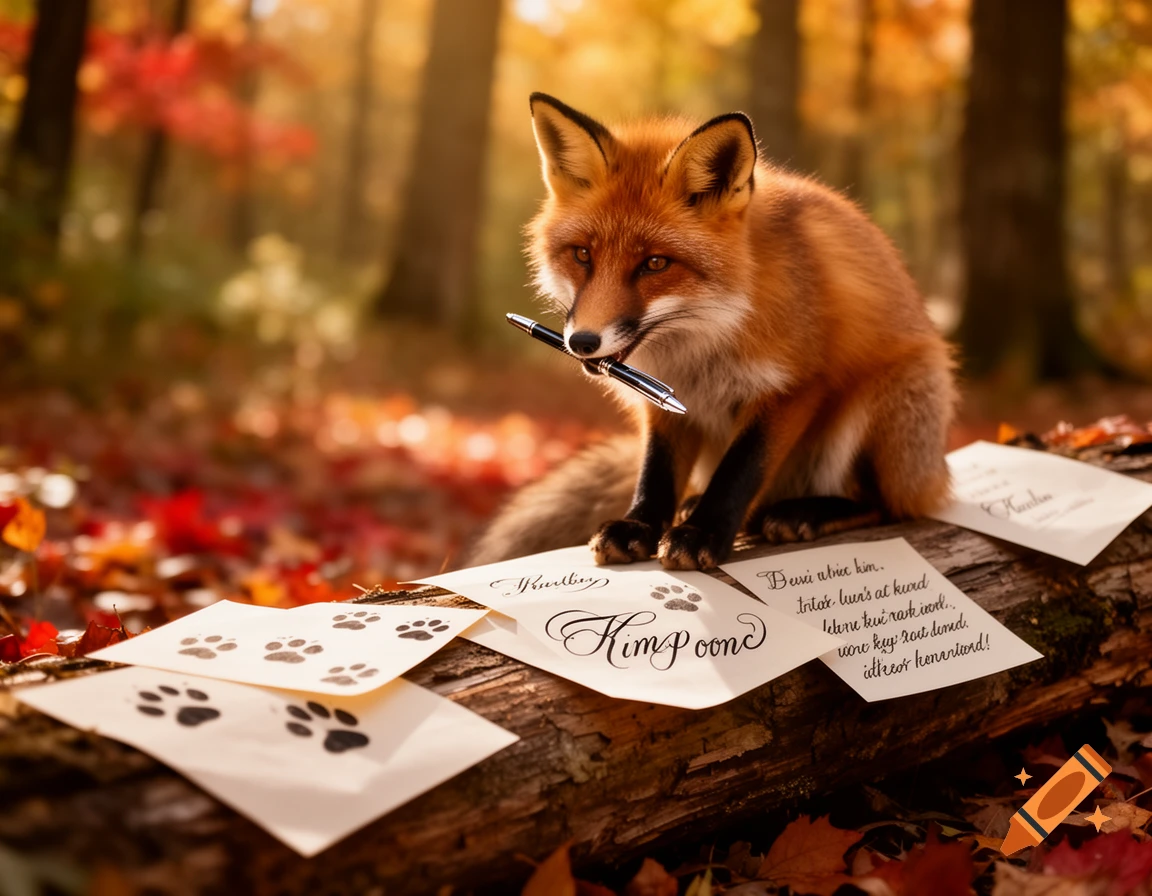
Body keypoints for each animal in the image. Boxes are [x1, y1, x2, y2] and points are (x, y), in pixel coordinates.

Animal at [463, 93, 957, 571]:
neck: (701, 342)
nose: (582, 342)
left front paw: (703, 534)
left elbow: (741, 471)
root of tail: (935, 472)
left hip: (886, 400)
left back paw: (804, 512)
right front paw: (639, 526)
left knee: (890, 505)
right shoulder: (665, 401)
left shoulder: (793, 387)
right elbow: (656, 471)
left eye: (655, 263)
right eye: (583, 255)